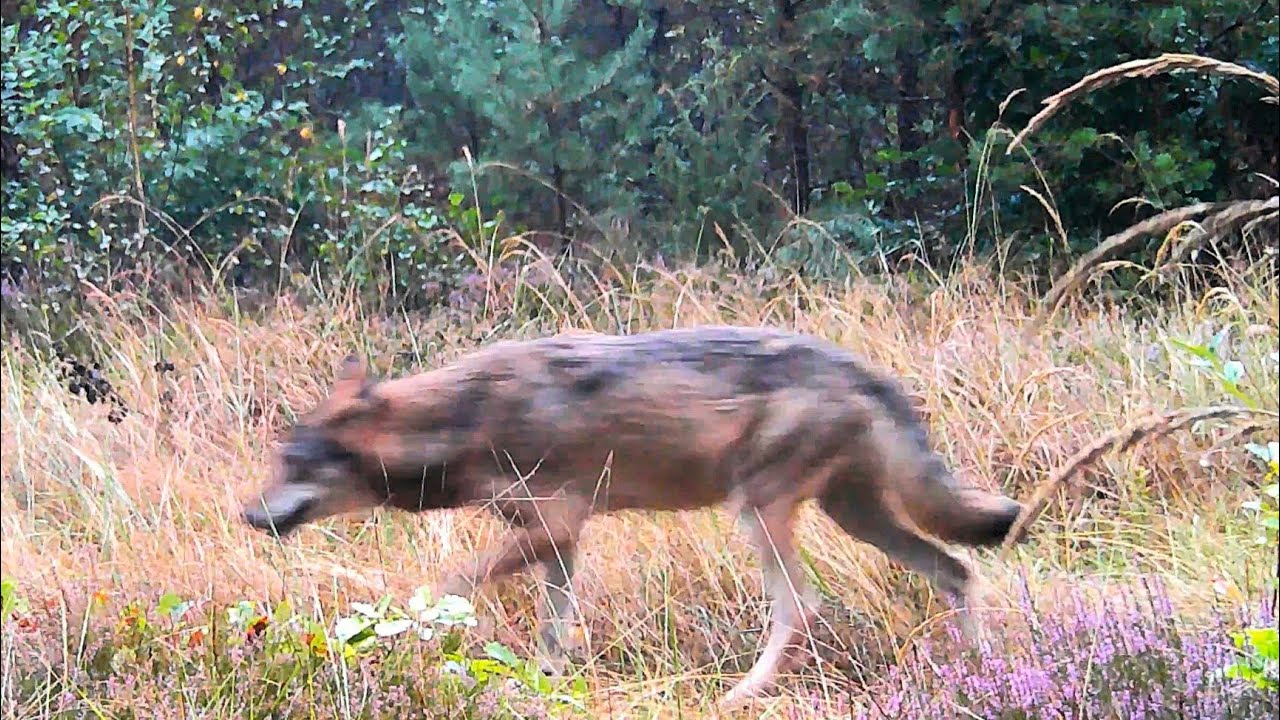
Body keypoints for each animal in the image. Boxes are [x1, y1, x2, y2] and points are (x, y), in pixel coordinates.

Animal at [241, 325, 1026, 708]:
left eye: (293, 463)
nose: (247, 514)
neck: (461, 418)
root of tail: (863, 369)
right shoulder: (562, 540)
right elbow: (554, 631)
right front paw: (544, 690)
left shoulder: (553, 527)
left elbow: (438, 585)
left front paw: (417, 634)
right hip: (851, 513)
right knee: (956, 571)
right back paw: (980, 674)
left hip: (760, 510)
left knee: (802, 607)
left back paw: (739, 695)